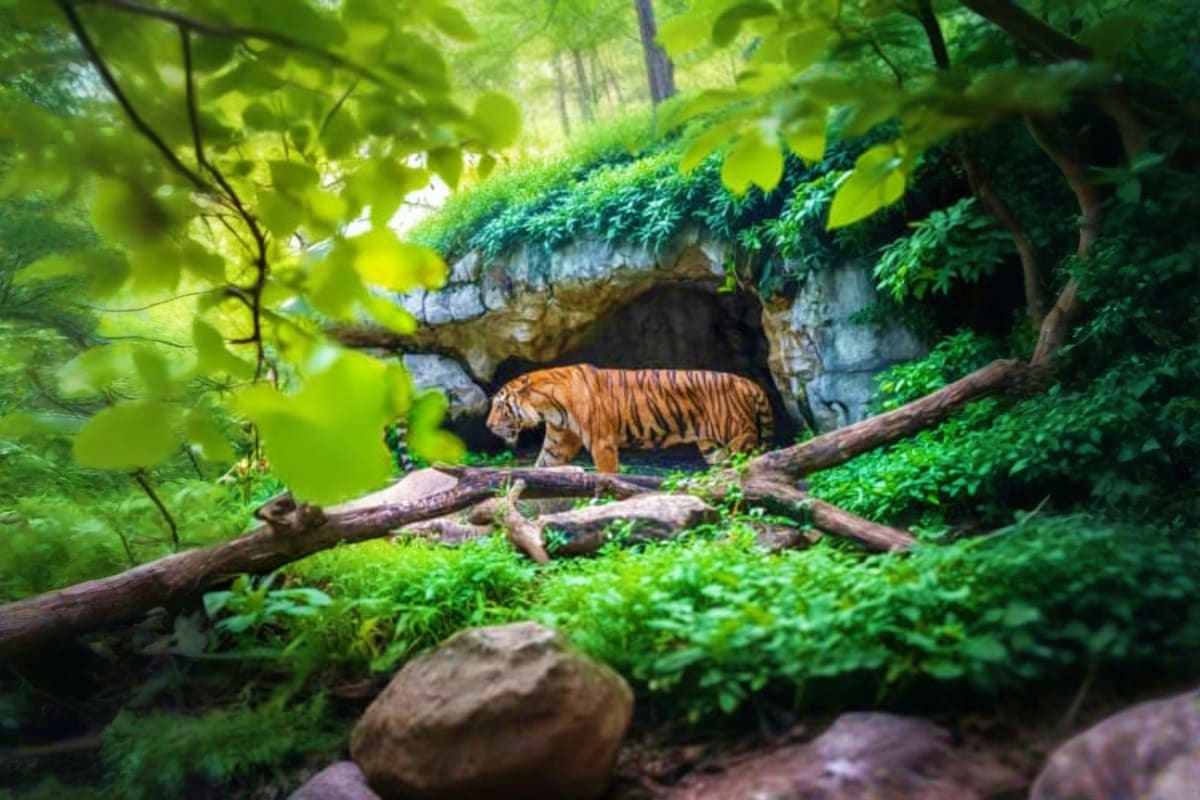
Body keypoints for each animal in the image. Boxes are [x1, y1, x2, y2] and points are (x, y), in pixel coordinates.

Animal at [486, 364, 774, 473]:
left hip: (740, 437)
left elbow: (607, 474)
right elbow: (542, 467)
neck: (549, 406)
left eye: (500, 406)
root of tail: (748, 382)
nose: (487, 426)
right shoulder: (558, 443)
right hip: (712, 447)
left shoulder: (602, 442)